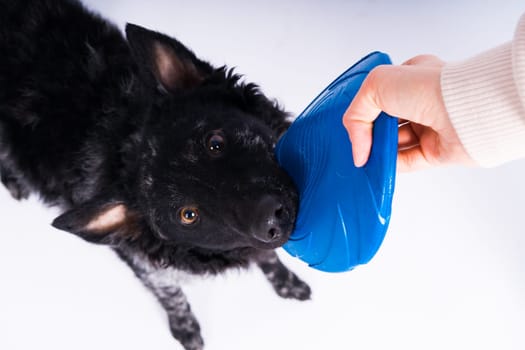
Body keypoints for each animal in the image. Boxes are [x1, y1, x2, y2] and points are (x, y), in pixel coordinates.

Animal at [0, 1, 310, 348]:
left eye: (214, 143)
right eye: (188, 215)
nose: (273, 216)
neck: (126, 140)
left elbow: (268, 257)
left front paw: (286, 282)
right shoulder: (144, 265)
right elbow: (172, 296)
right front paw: (185, 328)